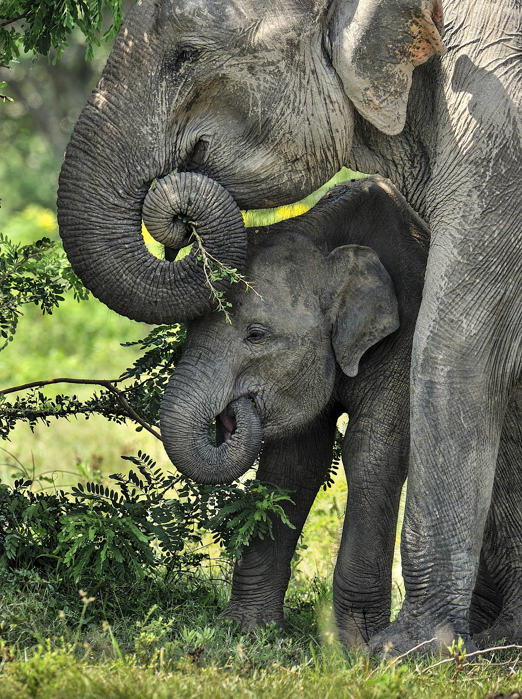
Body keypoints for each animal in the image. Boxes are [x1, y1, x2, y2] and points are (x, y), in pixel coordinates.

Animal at [57, 0, 520, 652]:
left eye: (186, 54)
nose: (176, 222)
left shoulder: (495, 136)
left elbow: (423, 381)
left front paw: (389, 652)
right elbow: (294, 462)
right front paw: (247, 635)